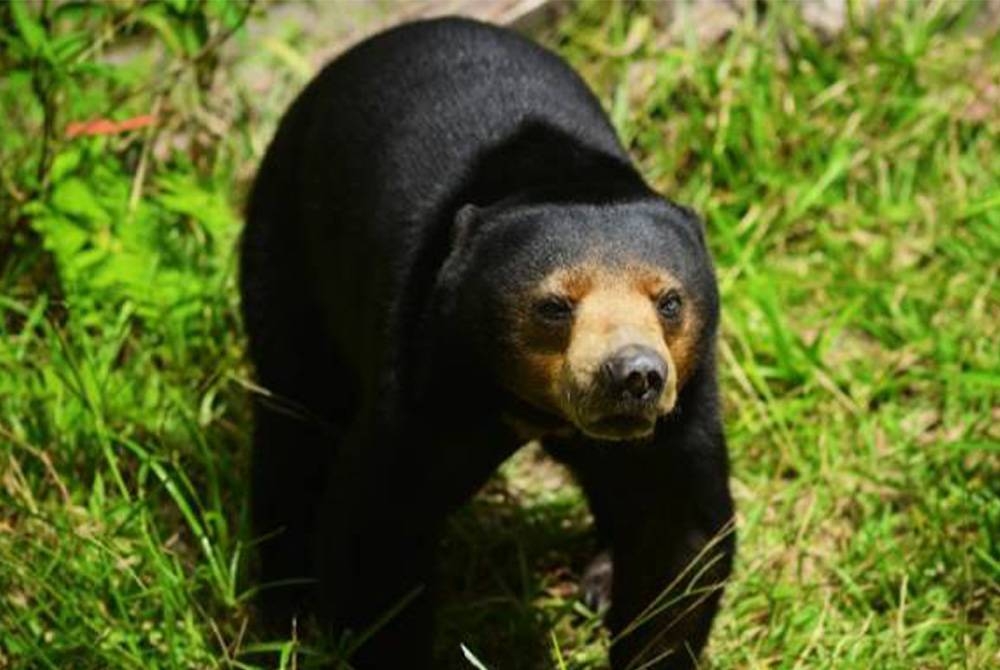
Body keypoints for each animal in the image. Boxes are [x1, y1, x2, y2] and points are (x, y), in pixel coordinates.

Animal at [238, 15, 732, 670]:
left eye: (669, 301)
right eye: (554, 306)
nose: (634, 376)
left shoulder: (684, 402)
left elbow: (677, 533)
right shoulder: (426, 366)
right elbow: (378, 525)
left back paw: (600, 580)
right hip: (291, 245)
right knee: (297, 413)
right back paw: (283, 605)